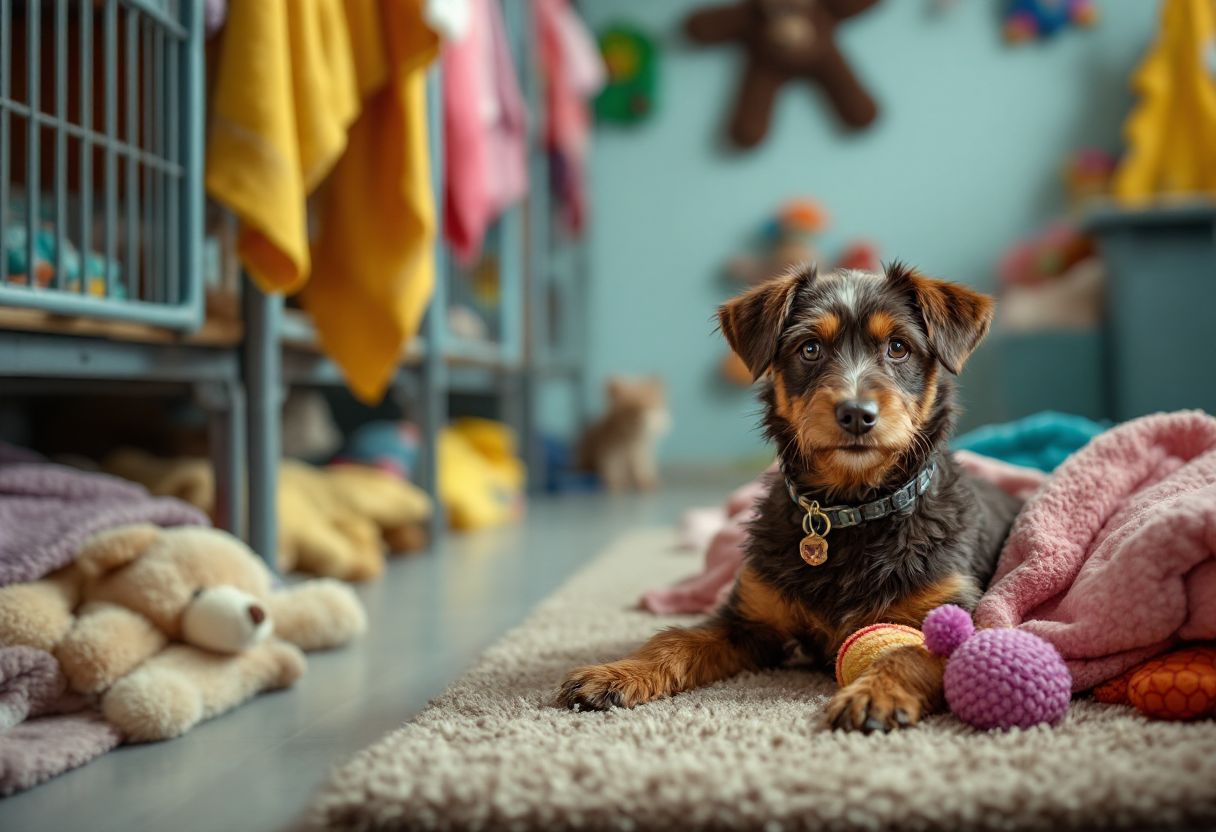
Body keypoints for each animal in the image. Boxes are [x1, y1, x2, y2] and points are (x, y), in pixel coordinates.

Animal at [559, 262, 1026, 729]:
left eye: (898, 347)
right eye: (810, 348)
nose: (856, 414)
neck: (851, 509)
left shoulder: (954, 617)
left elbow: (909, 651)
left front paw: (875, 693)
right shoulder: (748, 620)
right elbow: (677, 640)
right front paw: (618, 673)